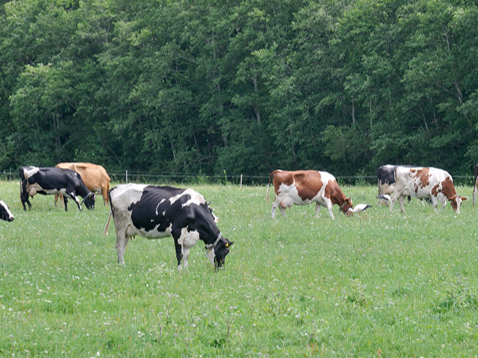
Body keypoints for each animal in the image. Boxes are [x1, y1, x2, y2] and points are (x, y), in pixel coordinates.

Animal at [103, 185, 232, 272]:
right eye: (225, 252)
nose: (221, 269)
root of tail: (115, 187)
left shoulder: (187, 237)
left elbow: (186, 255)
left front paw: (186, 271)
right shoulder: (177, 232)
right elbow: (179, 254)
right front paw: (179, 271)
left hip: (127, 230)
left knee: (122, 247)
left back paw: (121, 264)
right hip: (120, 225)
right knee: (120, 247)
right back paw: (122, 267)